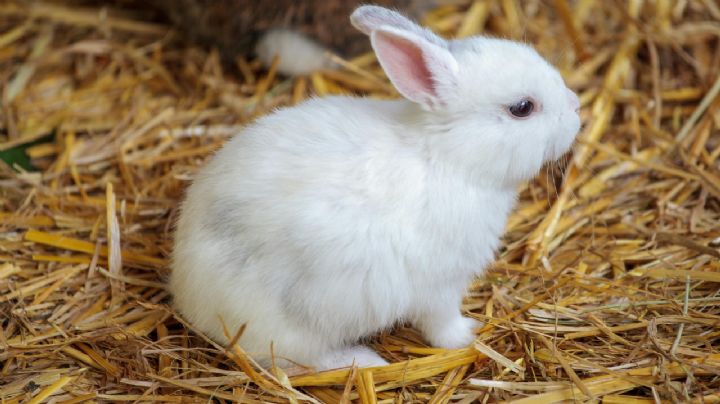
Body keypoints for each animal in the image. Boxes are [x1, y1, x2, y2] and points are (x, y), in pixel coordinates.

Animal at [170, 5, 581, 371]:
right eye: (522, 108)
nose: (576, 108)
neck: (446, 156)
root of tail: (187, 294)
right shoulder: (440, 286)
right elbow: (441, 324)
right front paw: (468, 334)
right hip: (291, 327)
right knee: (294, 362)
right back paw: (362, 360)